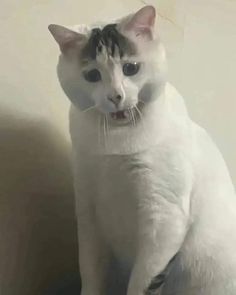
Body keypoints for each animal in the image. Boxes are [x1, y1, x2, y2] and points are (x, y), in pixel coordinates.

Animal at [48, 5, 236, 295]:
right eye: (92, 75)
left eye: (131, 68)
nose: (116, 96)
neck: (115, 140)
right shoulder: (88, 213)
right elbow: (90, 272)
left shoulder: (164, 217)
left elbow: (143, 281)